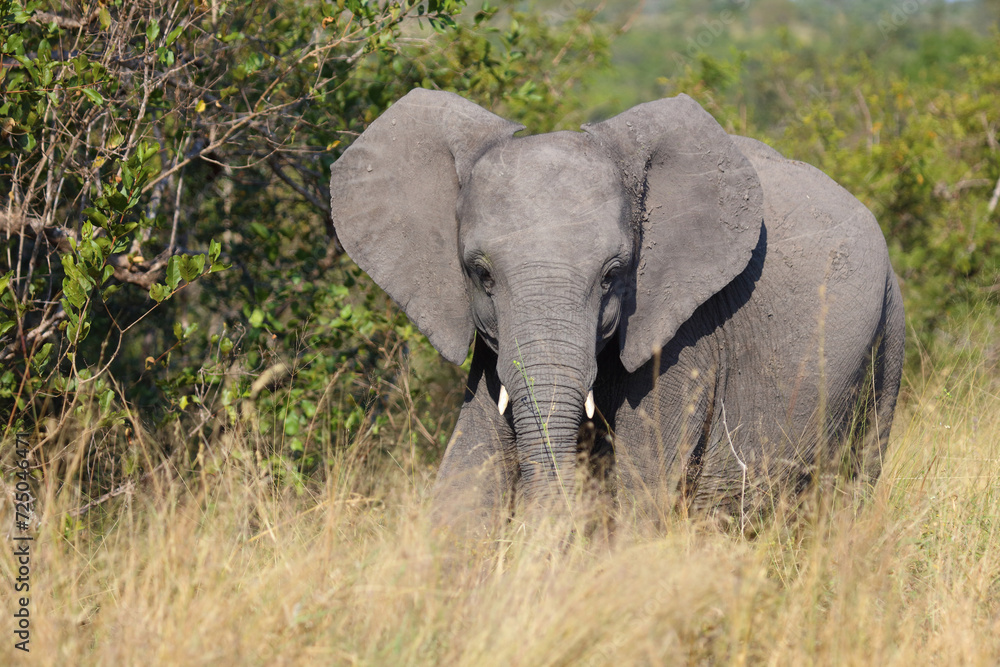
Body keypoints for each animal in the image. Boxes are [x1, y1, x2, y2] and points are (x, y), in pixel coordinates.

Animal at [329, 88, 905, 527]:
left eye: (612, 275)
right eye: (481, 274)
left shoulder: (686, 335)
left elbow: (640, 491)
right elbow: (467, 476)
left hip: (884, 340)